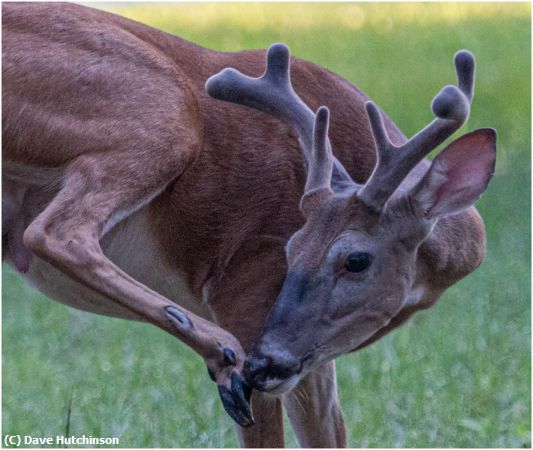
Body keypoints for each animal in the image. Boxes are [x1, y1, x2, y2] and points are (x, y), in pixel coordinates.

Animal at [3, 2, 494, 446]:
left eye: (356, 260)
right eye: (289, 248)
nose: (263, 364)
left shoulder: (311, 351)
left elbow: (328, 436)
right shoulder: (246, 289)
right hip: (165, 111)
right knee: (56, 230)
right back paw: (221, 353)